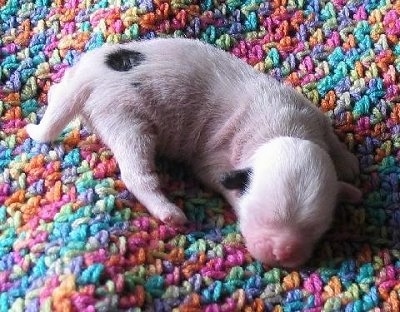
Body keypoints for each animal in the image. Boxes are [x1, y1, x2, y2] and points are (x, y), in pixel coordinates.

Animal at [25, 37, 362, 268]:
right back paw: (167, 211)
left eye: (316, 228)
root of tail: (89, 76)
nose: (283, 252)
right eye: (255, 214)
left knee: (59, 92)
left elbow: (331, 138)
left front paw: (348, 169)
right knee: (137, 174)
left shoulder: (310, 114)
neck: (284, 131)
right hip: (125, 118)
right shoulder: (216, 160)